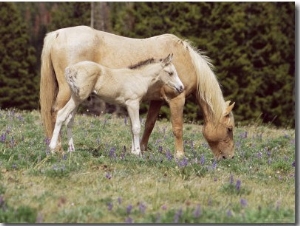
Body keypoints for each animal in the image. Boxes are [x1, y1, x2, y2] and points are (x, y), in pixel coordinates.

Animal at [49, 53, 184, 155]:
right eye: (171, 73)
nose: (181, 88)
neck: (139, 77)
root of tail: (71, 69)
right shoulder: (133, 103)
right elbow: (136, 127)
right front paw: (137, 153)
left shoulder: (129, 105)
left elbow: (131, 127)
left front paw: (133, 151)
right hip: (77, 98)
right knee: (61, 115)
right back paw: (52, 147)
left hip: (76, 98)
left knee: (69, 121)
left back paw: (71, 149)